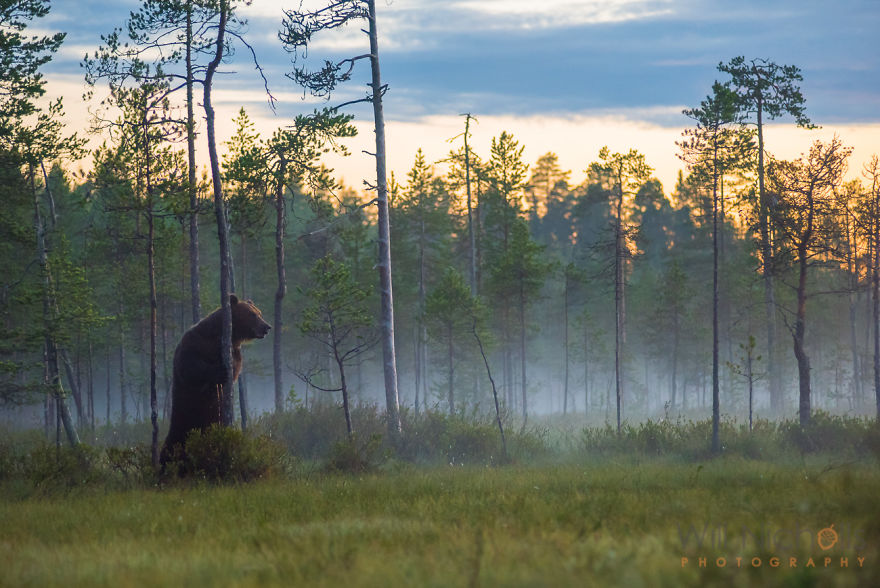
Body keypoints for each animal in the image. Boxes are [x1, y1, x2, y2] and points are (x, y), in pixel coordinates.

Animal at [160, 294, 270, 468]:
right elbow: (191, 366)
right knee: (172, 447)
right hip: (183, 422)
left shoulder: (234, 353)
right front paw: (219, 372)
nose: (267, 327)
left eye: (260, 313)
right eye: (253, 314)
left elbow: (234, 371)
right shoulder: (195, 343)